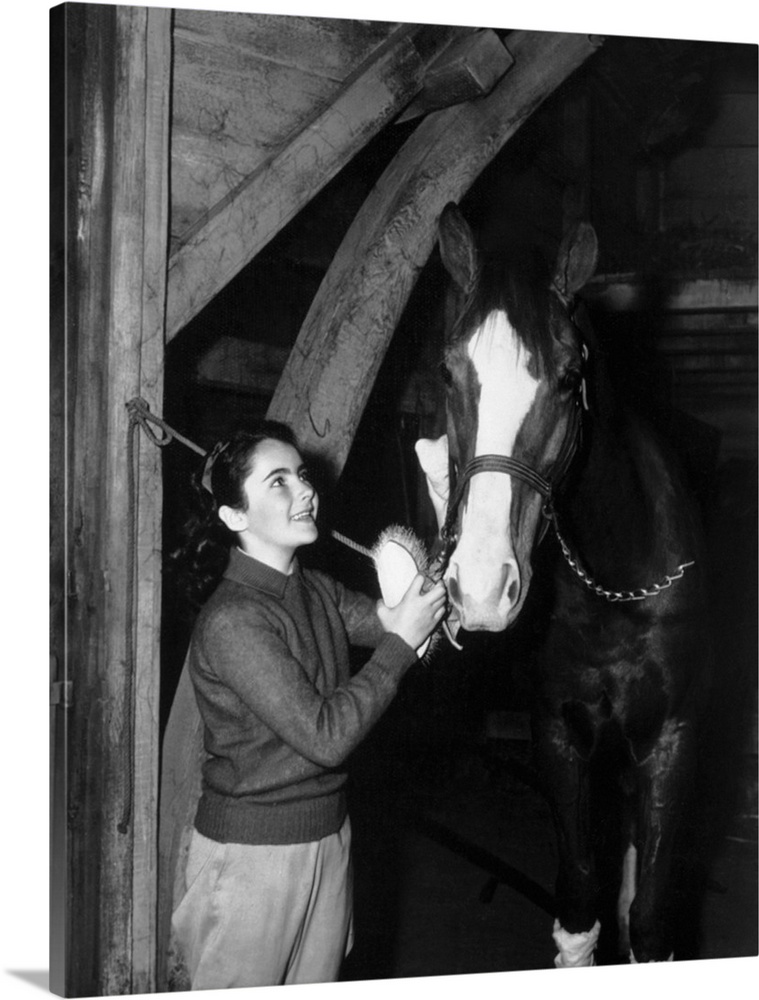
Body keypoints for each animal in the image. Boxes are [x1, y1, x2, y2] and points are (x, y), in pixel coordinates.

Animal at [412, 205, 708, 968]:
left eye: (570, 374)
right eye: (448, 371)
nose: (482, 589)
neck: (612, 587)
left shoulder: (672, 739)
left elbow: (649, 924)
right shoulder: (557, 736)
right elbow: (578, 907)